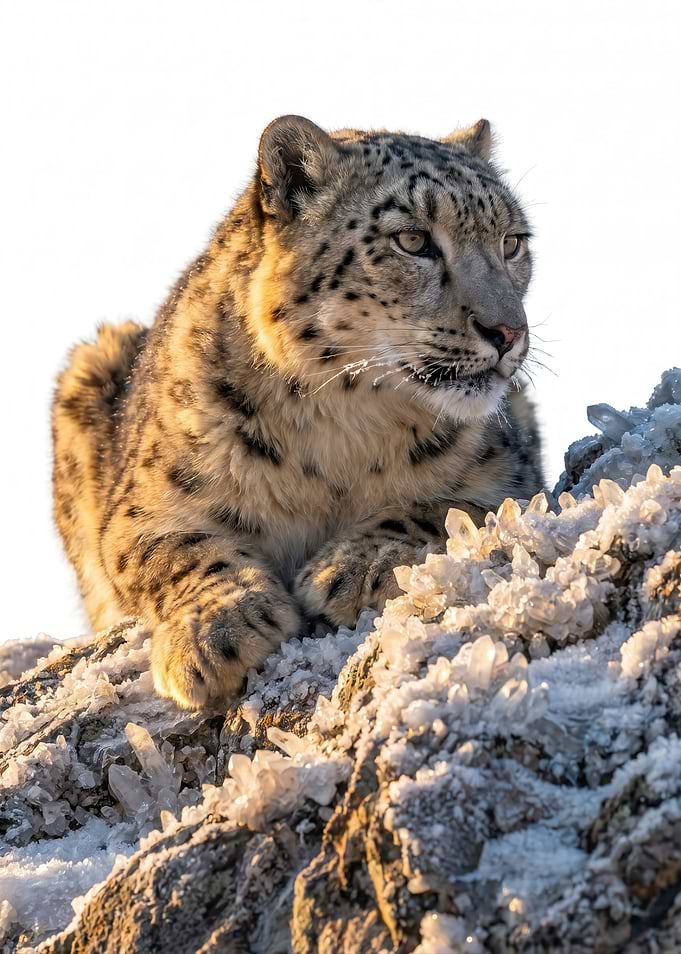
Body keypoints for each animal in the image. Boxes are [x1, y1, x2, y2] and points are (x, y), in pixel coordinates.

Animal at [52, 115, 544, 711]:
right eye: (412, 240)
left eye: (512, 242)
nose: (508, 332)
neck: (344, 429)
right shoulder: (141, 509)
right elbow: (174, 551)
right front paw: (216, 632)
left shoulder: (511, 477)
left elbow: (443, 507)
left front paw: (355, 566)